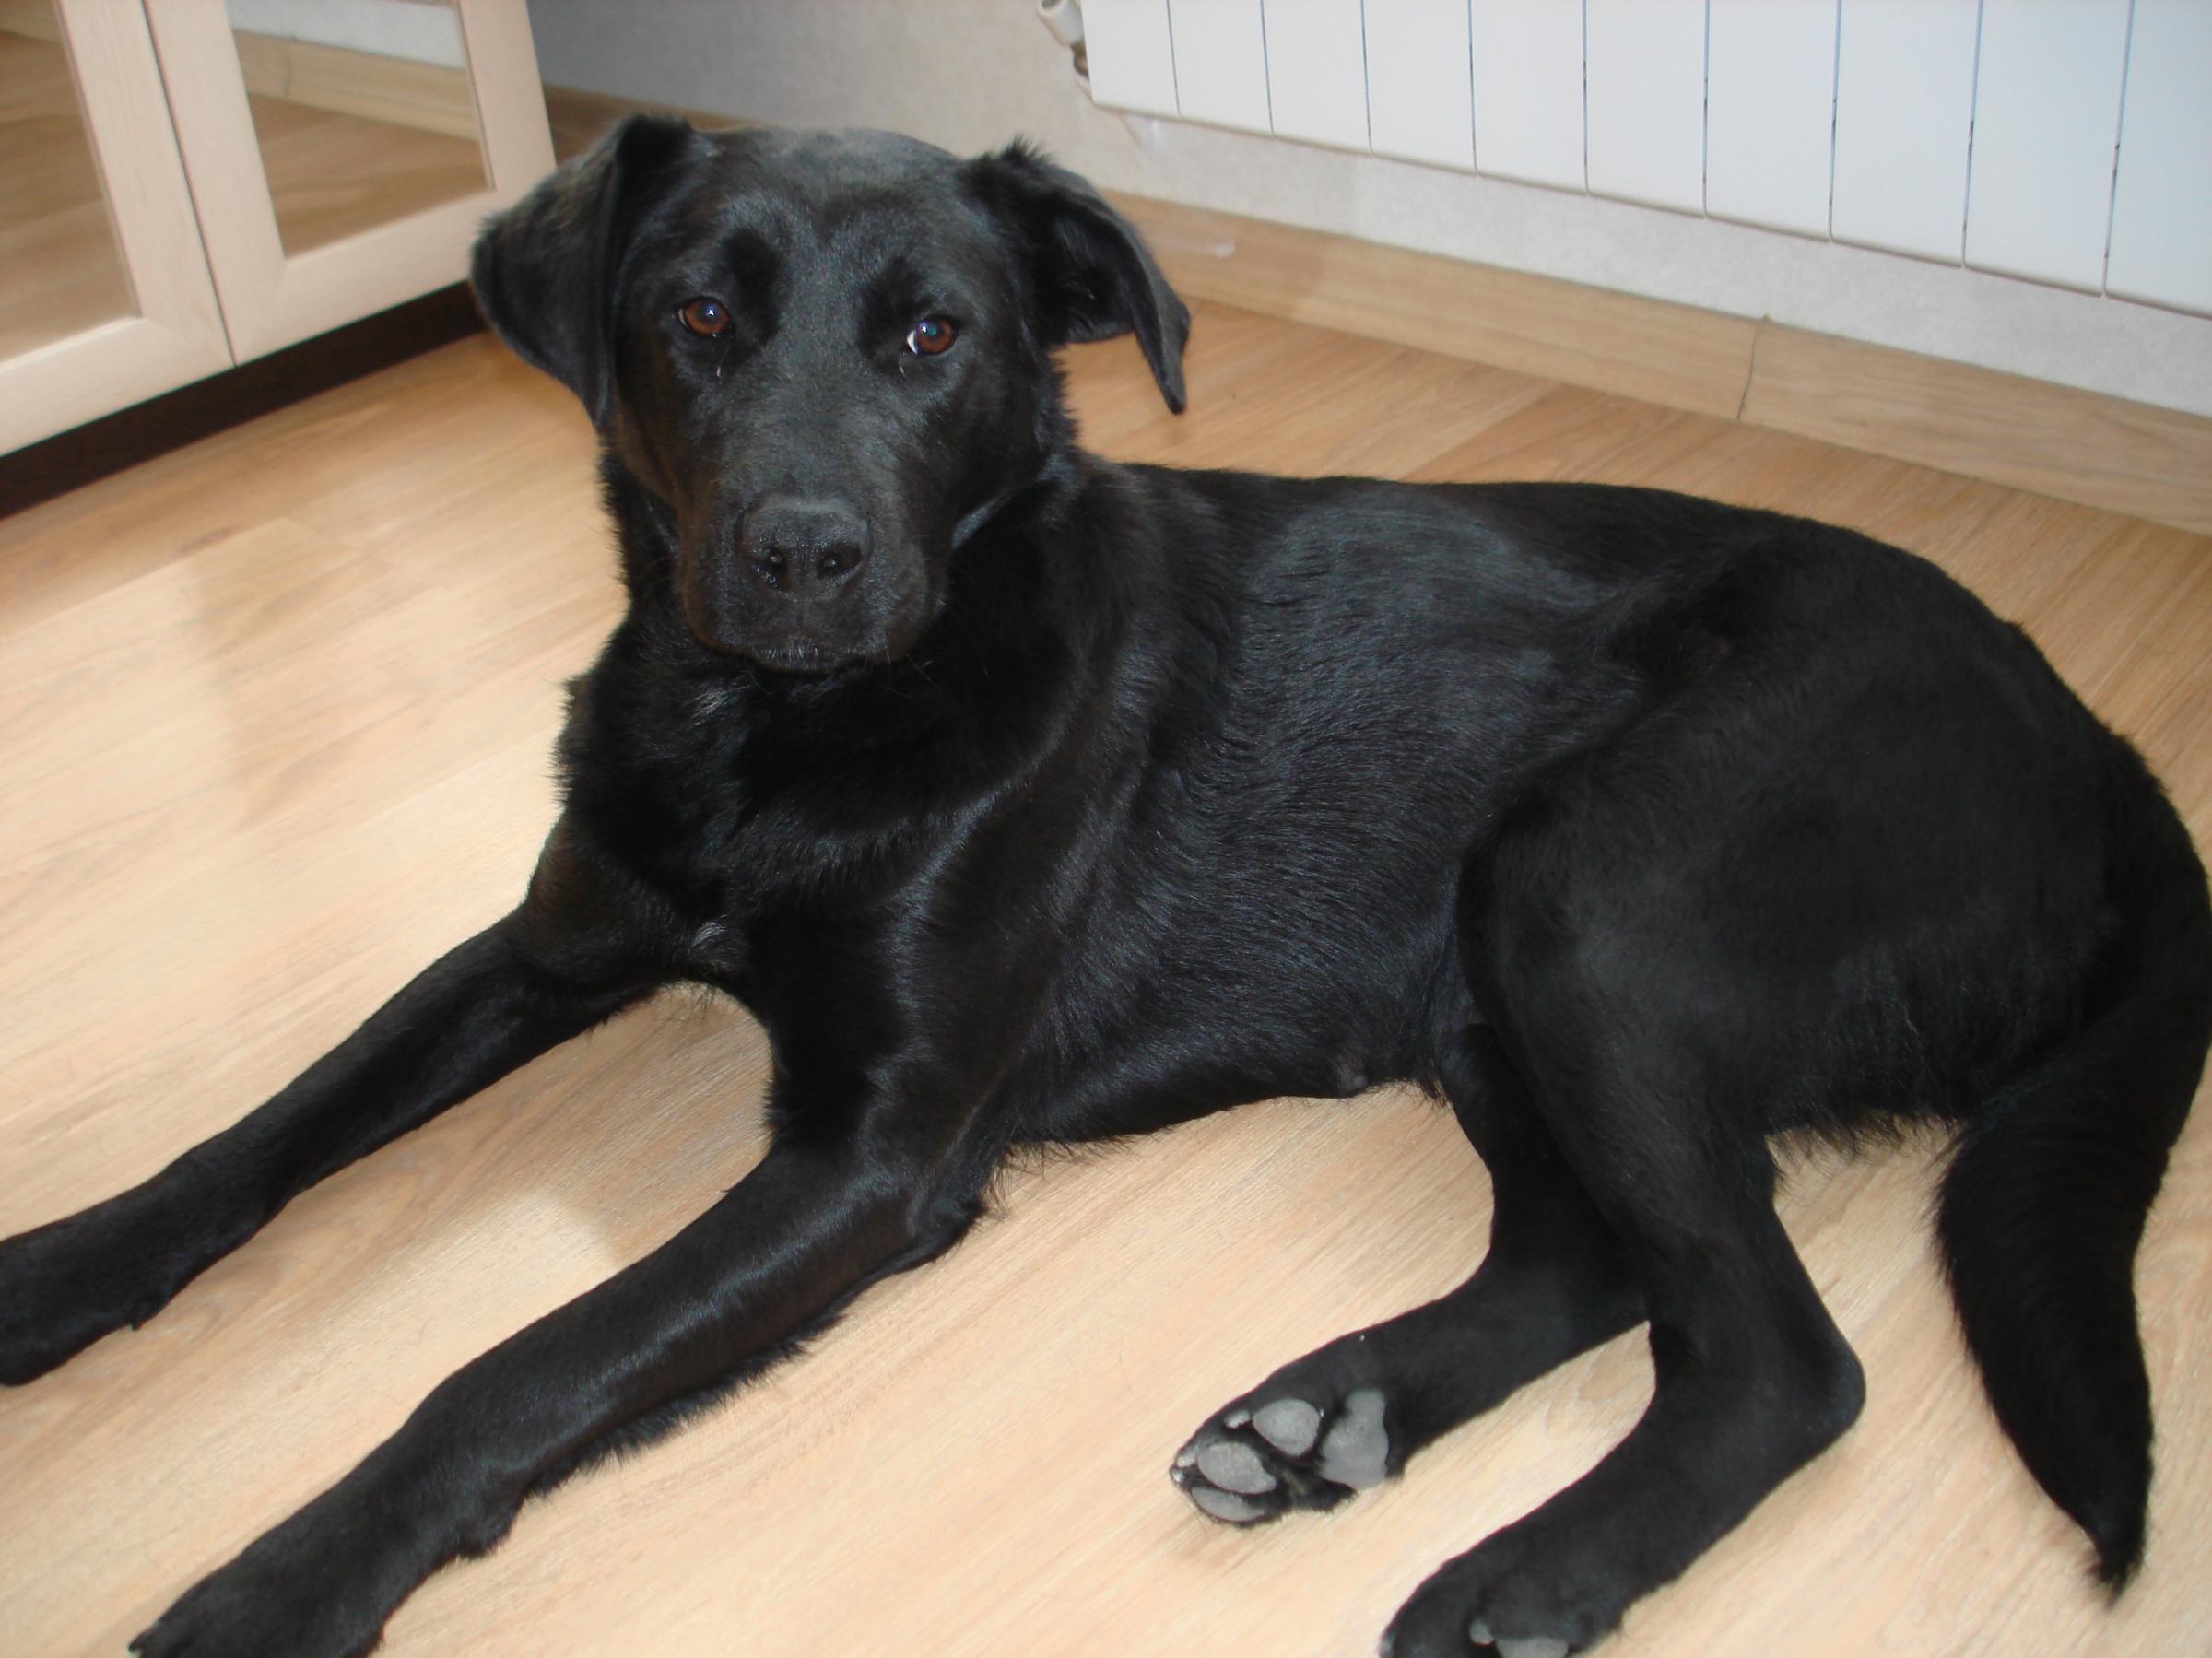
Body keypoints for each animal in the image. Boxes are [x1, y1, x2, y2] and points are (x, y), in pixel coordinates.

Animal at [1, 118, 2206, 1658]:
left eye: (931, 334)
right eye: (698, 318)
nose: (801, 554)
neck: (774, 739)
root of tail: (2089, 727)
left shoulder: (874, 1158)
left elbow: (518, 1360)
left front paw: (290, 1570)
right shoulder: (551, 941)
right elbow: (267, 1128)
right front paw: (52, 1262)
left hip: (1593, 899)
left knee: (1778, 1350)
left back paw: (1528, 1567)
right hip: (1488, 968)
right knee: (1595, 1259)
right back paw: (1332, 1414)